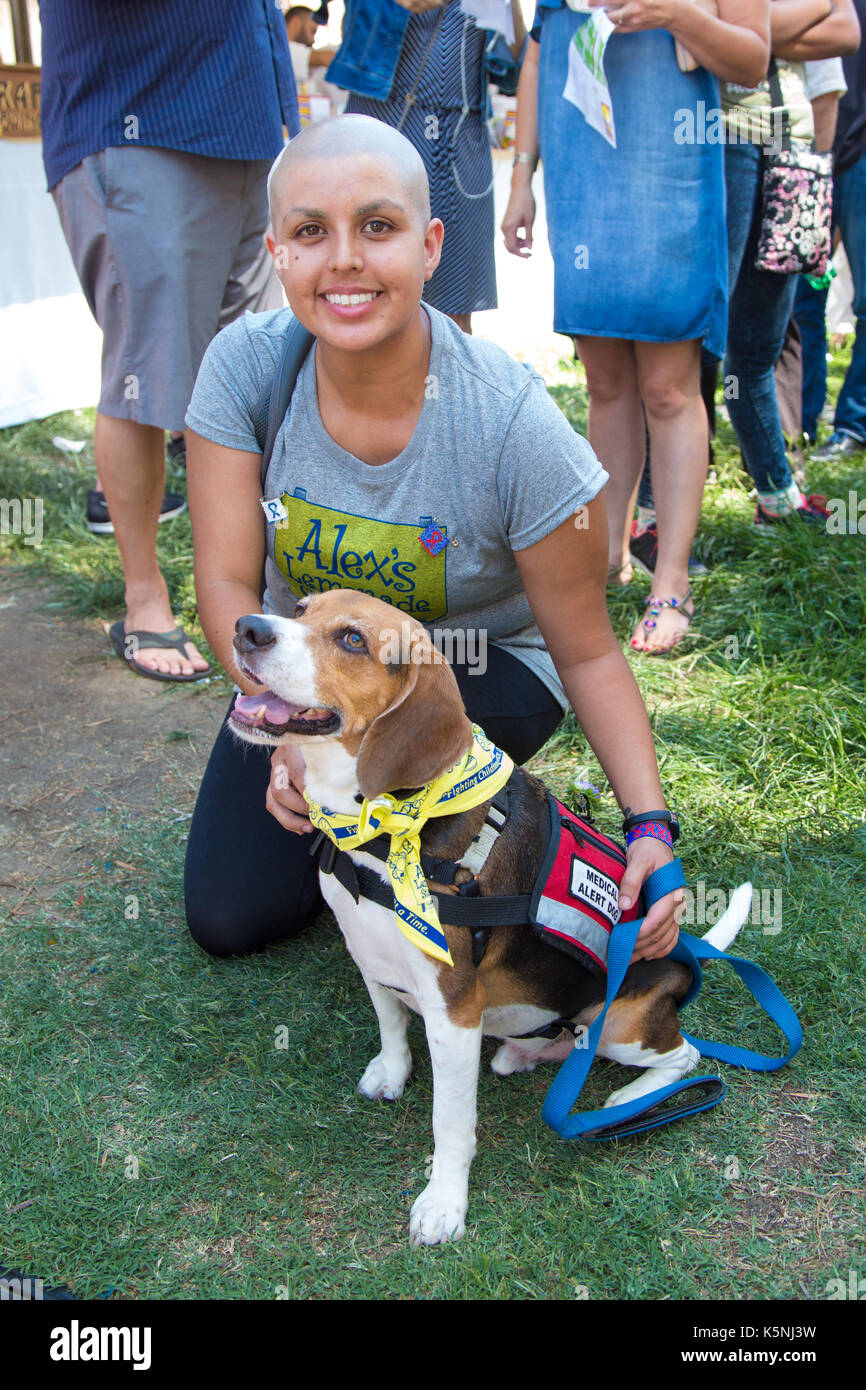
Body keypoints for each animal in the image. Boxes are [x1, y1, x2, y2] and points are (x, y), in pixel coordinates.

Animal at [232, 592, 750, 1245]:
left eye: (352, 640)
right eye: (299, 608)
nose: (247, 629)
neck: (382, 826)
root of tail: (683, 957)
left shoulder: (454, 1012)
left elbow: (450, 1122)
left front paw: (443, 1203)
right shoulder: (372, 960)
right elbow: (390, 1026)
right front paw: (392, 1073)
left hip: (621, 1023)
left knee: (686, 1056)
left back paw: (627, 1097)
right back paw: (526, 1052)